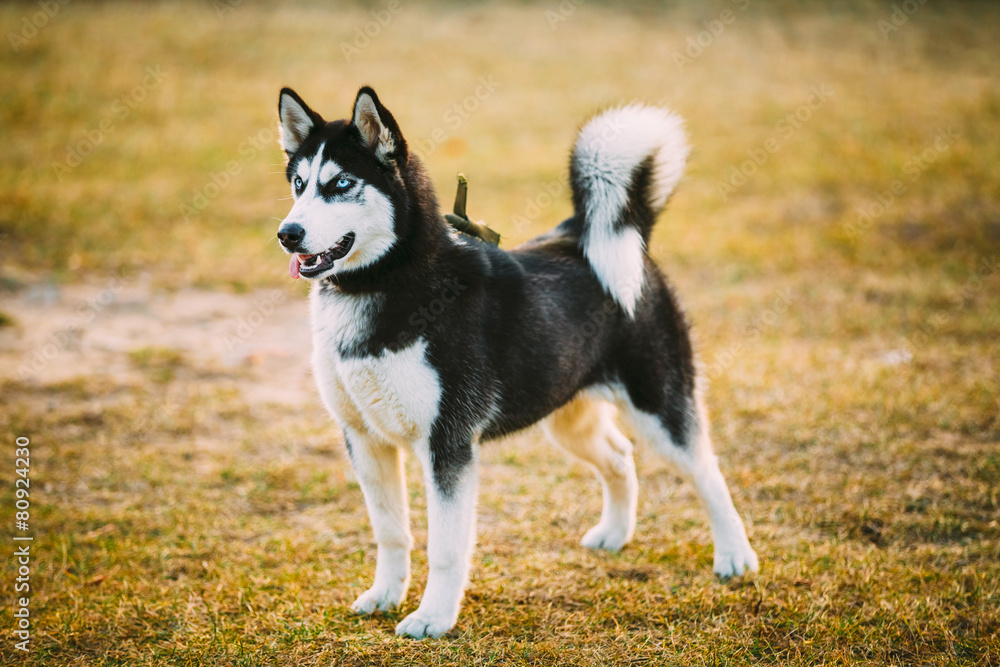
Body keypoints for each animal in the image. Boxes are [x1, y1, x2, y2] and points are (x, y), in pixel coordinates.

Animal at [274, 86, 756, 640]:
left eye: (341, 184)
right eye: (299, 184)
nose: (287, 233)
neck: (384, 284)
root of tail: (592, 235)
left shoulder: (448, 446)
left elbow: (446, 547)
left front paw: (433, 617)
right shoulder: (365, 440)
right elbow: (391, 532)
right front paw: (385, 596)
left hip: (660, 407)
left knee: (706, 470)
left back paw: (735, 556)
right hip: (566, 417)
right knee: (619, 455)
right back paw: (615, 532)